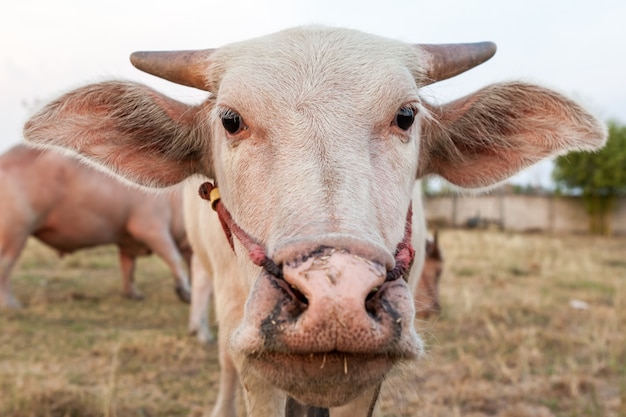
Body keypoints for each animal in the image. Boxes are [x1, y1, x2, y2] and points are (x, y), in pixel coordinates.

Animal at [0, 145, 190, 308]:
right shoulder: (150, 227)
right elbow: (173, 257)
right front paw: (185, 294)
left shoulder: (126, 240)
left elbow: (128, 267)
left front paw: (135, 296)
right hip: (16, 230)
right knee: (6, 265)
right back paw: (13, 306)